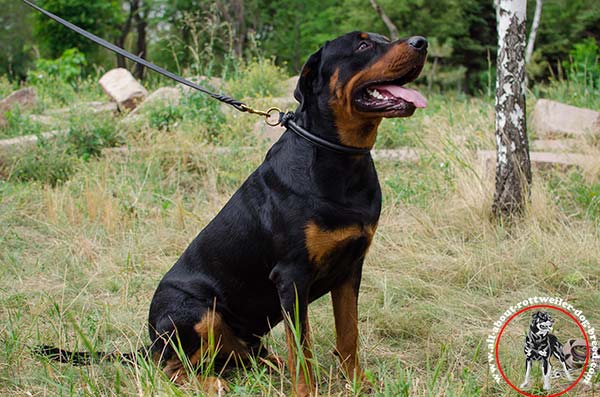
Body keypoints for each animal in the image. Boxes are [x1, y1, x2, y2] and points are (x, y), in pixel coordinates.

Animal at [36, 31, 426, 392]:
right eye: (363, 46)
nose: (421, 42)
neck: (339, 158)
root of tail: (149, 343)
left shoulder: (350, 269)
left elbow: (348, 335)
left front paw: (359, 384)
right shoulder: (292, 277)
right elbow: (303, 349)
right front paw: (308, 391)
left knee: (240, 356)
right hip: (196, 313)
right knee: (170, 369)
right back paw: (212, 383)